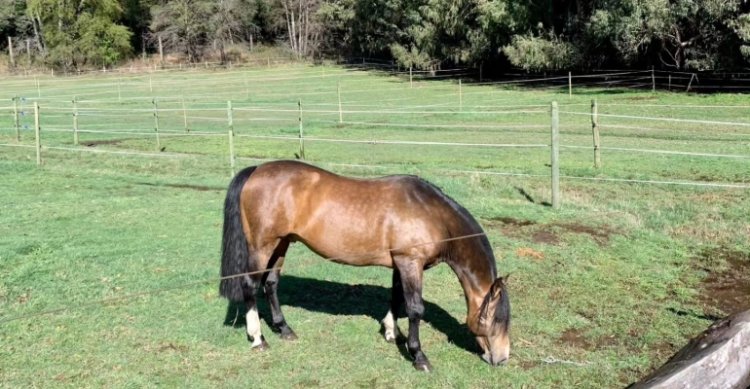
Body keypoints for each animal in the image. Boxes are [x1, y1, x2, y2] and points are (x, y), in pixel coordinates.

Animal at [219, 160, 512, 370]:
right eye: (498, 319)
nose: (502, 358)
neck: (431, 213)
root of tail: (257, 170)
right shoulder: (410, 263)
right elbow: (415, 308)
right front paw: (418, 356)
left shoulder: (400, 264)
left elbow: (396, 297)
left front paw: (391, 332)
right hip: (263, 246)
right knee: (250, 285)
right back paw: (258, 339)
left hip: (282, 244)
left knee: (270, 284)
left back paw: (284, 329)